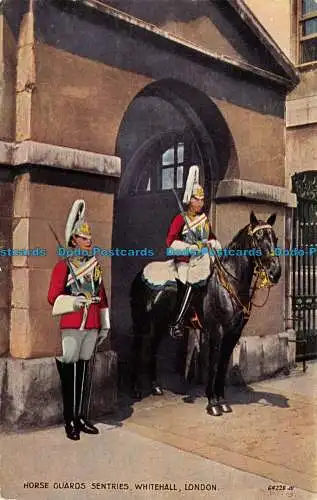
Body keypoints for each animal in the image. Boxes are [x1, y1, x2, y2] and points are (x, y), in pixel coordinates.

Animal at [128, 211, 278, 414]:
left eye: (275, 238)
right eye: (258, 237)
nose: (275, 272)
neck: (230, 283)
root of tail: (142, 272)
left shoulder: (233, 334)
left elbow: (223, 365)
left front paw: (222, 401)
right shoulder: (217, 331)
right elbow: (214, 365)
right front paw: (213, 403)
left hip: (160, 323)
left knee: (152, 347)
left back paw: (155, 387)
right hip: (141, 321)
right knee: (137, 349)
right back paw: (135, 389)